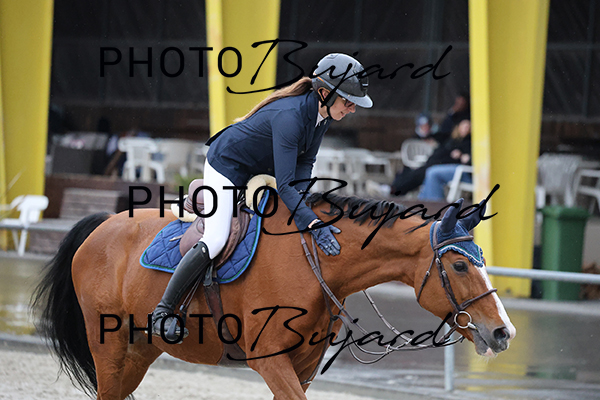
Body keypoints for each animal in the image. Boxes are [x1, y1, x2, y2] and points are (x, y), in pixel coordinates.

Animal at [32, 192, 516, 400]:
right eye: (459, 266)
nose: (503, 332)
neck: (316, 263)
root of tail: (101, 225)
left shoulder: (302, 366)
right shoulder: (269, 360)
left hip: (138, 352)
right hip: (109, 347)